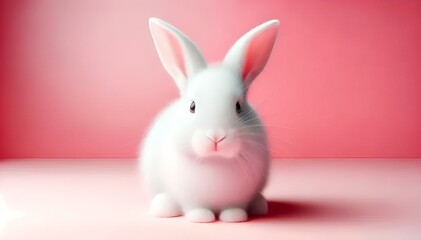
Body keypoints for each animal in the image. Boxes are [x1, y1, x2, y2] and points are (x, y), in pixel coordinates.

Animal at [140, 17, 278, 222]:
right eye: (192, 106)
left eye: (238, 106)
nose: (216, 136)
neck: (215, 161)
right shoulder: (190, 198)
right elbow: (195, 208)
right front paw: (201, 217)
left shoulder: (237, 198)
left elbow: (234, 208)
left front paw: (234, 217)